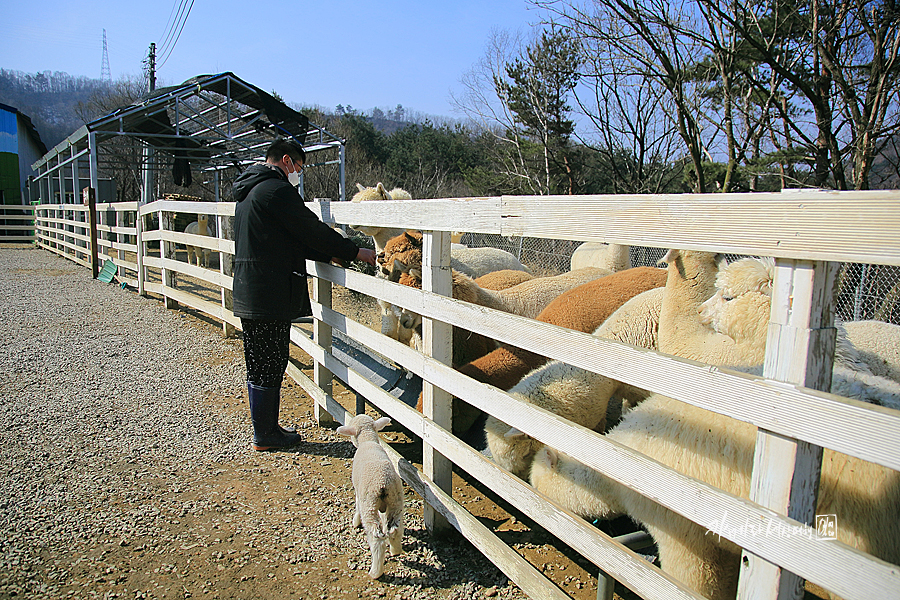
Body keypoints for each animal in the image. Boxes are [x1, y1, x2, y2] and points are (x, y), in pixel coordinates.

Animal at [336, 414, 406, 580]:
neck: (368, 441)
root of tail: (383, 483)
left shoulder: (358, 491)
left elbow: (356, 505)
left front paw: (355, 521)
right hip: (396, 499)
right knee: (395, 529)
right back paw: (395, 550)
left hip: (369, 504)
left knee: (377, 538)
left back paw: (375, 571)